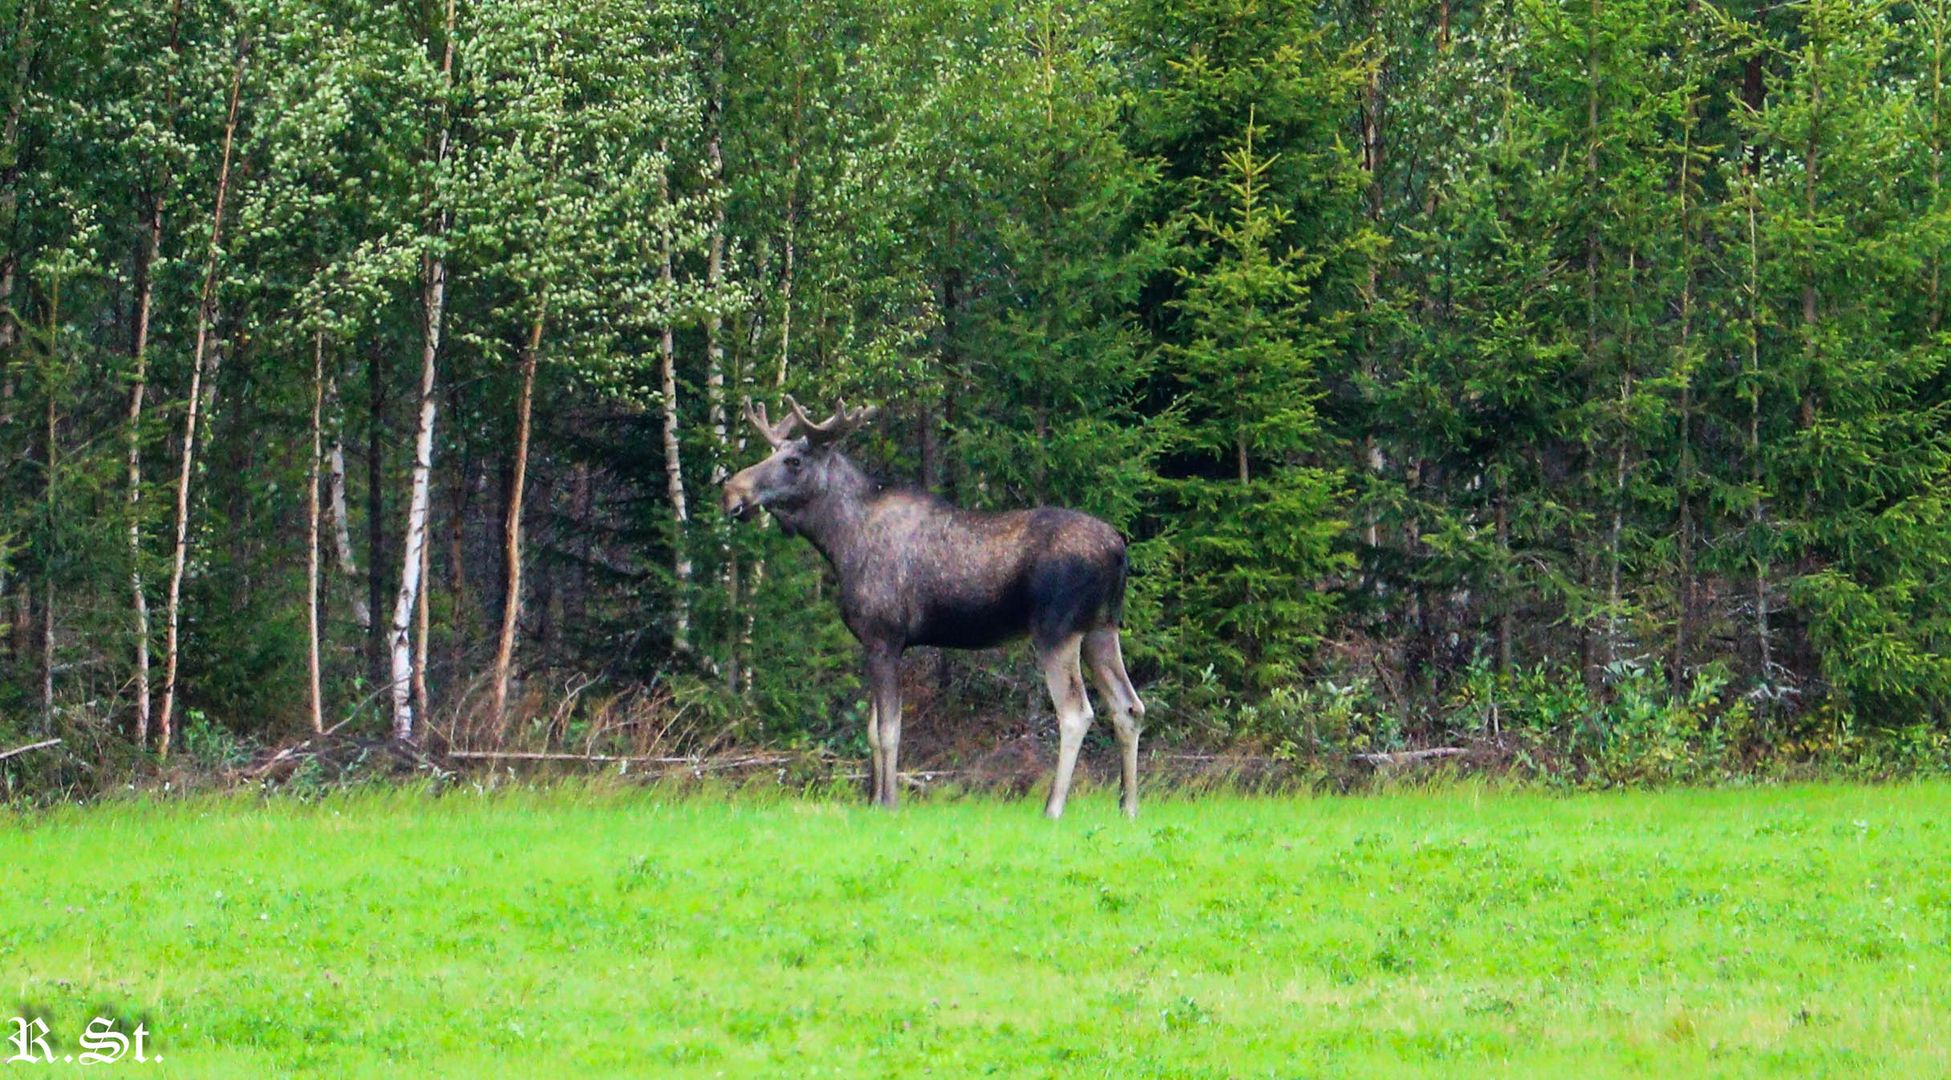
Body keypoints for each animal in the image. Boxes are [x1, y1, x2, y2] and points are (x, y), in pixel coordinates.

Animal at [721, 395, 1139, 814]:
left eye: (793, 461)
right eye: (774, 452)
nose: (731, 492)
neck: (838, 541)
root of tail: (1118, 550)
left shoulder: (884, 637)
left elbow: (888, 731)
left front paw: (889, 802)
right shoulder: (878, 644)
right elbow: (872, 731)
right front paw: (873, 801)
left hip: (1057, 631)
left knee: (1076, 713)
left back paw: (1053, 808)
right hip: (1101, 629)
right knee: (1129, 707)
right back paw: (1128, 807)